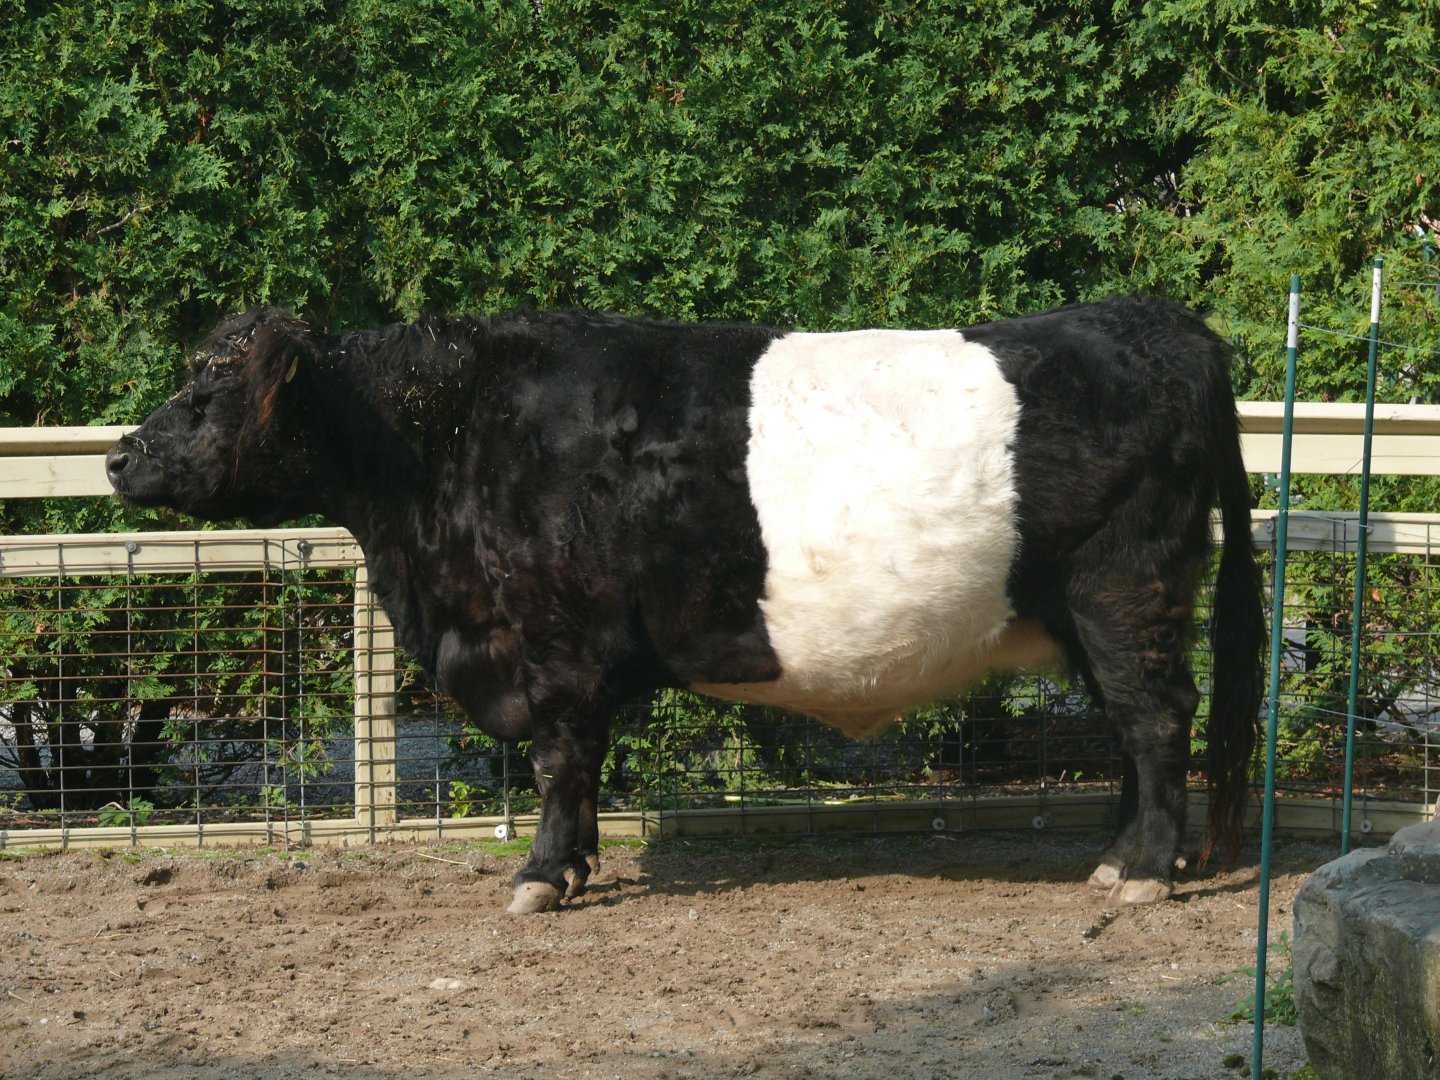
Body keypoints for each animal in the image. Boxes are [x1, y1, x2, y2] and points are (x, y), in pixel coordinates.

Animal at [106, 297, 1265, 914]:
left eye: (208, 395)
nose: (118, 456)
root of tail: (1166, 323)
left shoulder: (554, 646)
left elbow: (561, 765)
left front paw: (542, 876)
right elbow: (577, 770)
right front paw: (575, 866)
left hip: (1124, 589)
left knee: (1157, 720)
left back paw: (1145, 871)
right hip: (1098, 613)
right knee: (1133, 727)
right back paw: (1122, 853)